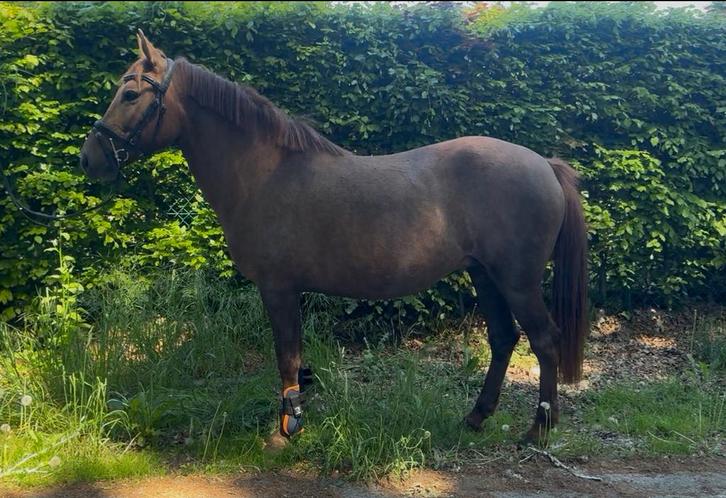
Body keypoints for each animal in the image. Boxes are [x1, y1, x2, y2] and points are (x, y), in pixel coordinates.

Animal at [79, 30, 589, 444]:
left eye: (129, 94)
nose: (89, 158)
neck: (266, 172)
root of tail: (545, 164)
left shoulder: (278, 288)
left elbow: (286, 357)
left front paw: (288, 428)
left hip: (517, 281)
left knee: (545, 340)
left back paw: (539, 429)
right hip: (485, 274)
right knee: (503, 339)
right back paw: (476, 418)